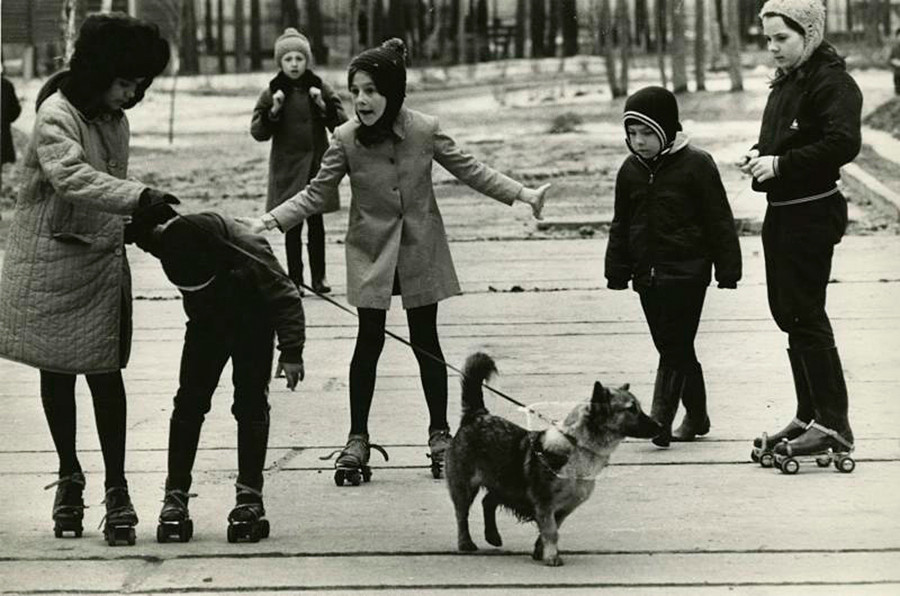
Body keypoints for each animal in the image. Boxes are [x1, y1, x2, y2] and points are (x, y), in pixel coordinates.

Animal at [444, 352, 660, 564]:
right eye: (631, 409)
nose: (660, 426)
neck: (577, 444)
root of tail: (476, 415)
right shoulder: (545, 504)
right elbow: (551, 532)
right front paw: (551, 556)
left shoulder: (563, 509)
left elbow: (550, 531)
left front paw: (540, 551)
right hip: (465, 486)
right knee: (461, 514)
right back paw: (466, 543)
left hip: (503, 483)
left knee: (488, 502)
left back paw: (493, 536)